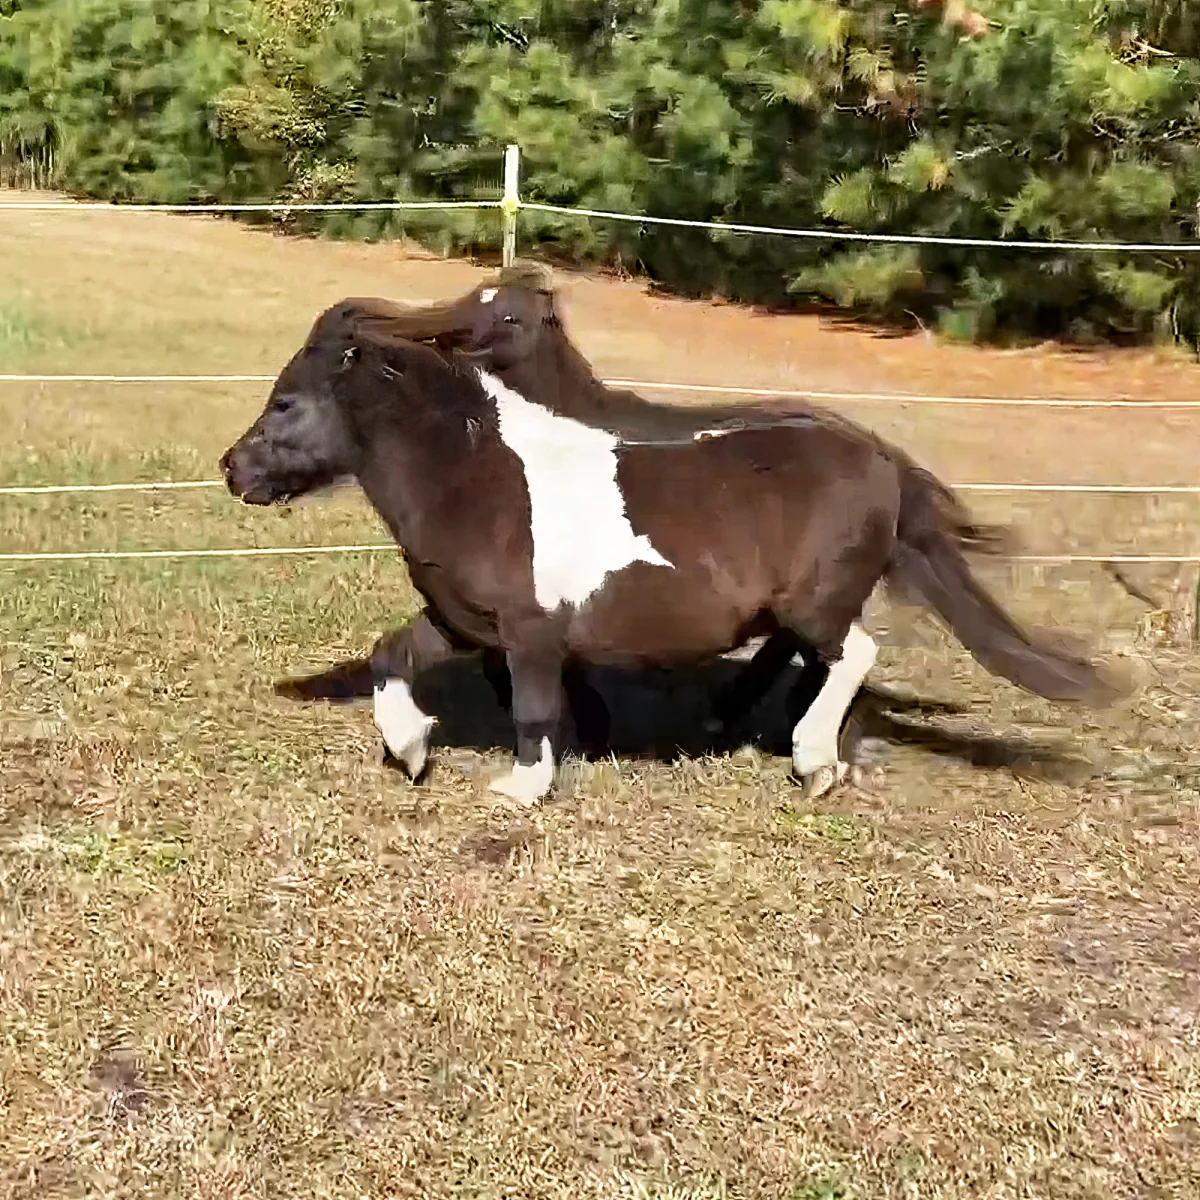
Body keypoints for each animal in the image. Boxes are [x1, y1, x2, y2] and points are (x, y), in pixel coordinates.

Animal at [220, 306, 1115, 805]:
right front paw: (410, 750)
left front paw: (522, 788)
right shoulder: (463, 621)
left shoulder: (531, 632)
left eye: (287, 403)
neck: (481, 479)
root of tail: (878, 458)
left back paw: (811, 759)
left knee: (852, 652)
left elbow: (534, 709)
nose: (233, 469)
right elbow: (390, 656)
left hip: (817, 602)